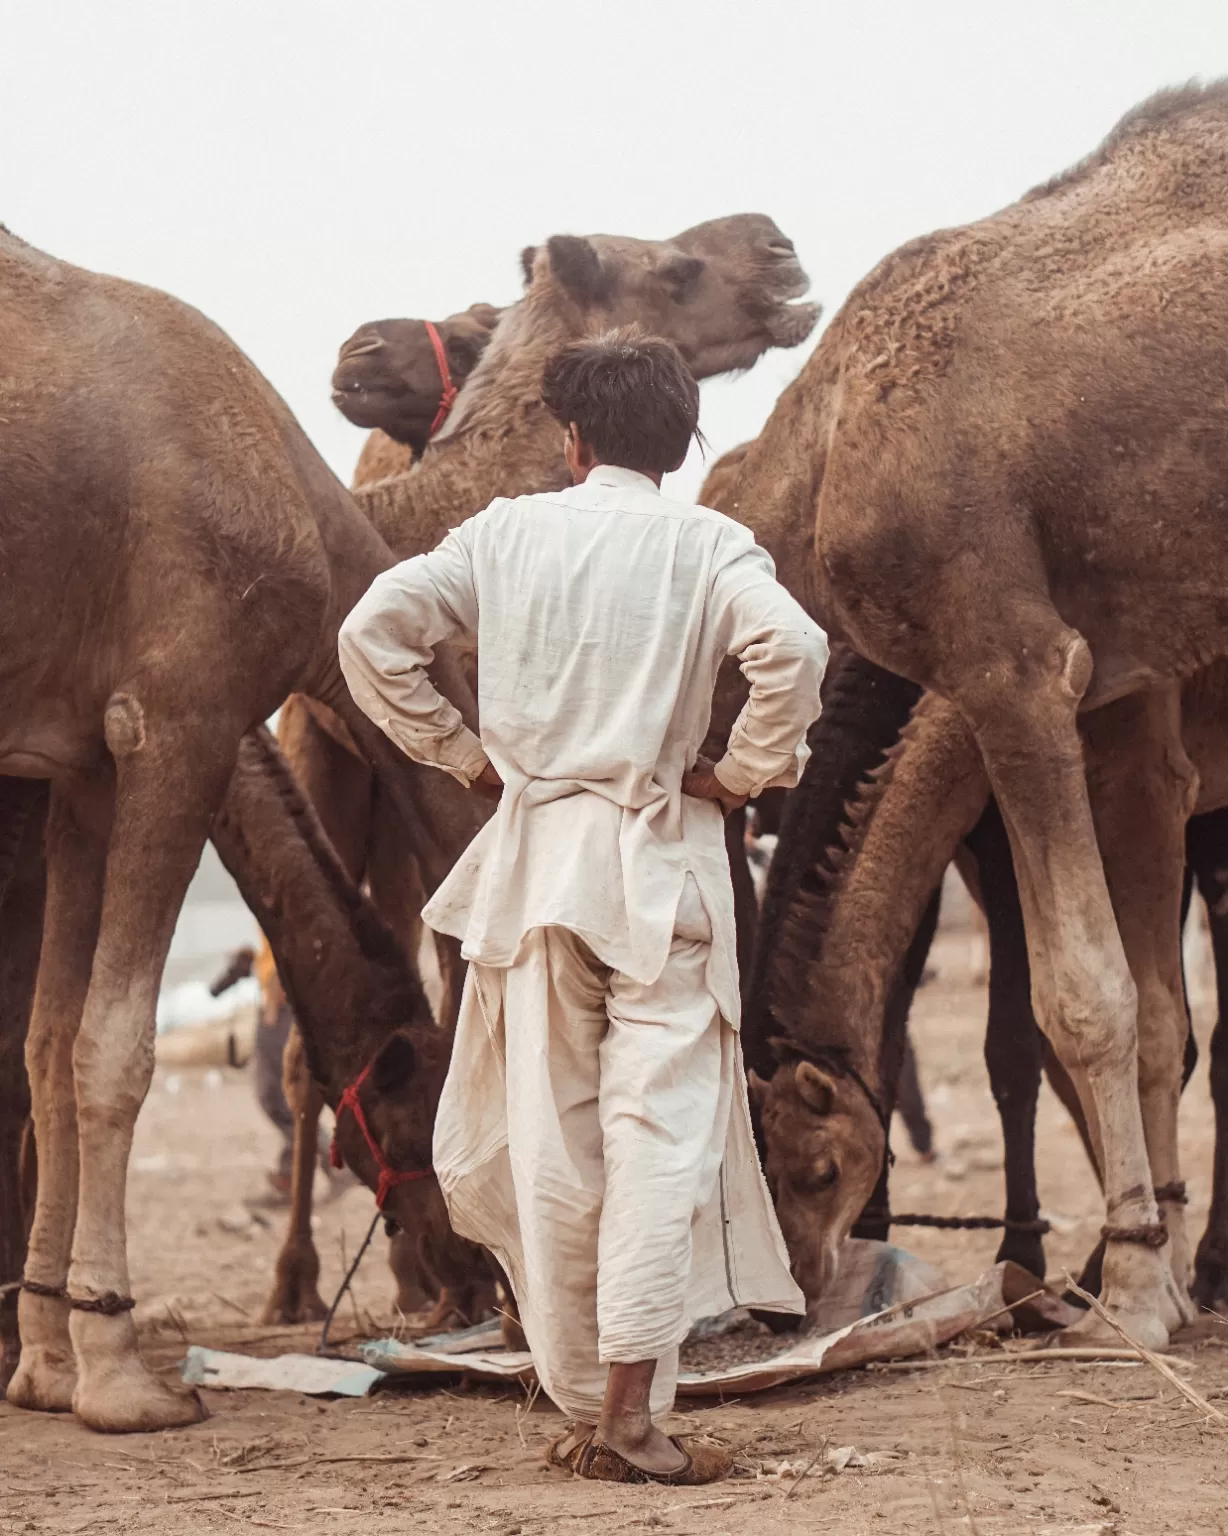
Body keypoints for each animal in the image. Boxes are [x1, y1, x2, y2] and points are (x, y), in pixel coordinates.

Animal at [0, 224, 488, 1425]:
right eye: (416, 1113)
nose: (470, 1280)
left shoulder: (84, 760)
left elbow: (49, 1046)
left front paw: (45, 1366)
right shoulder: (181, 716)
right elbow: (113, 1048)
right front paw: (120, 1377)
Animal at [700, 84, 1228, 1345]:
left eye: (812, 1166)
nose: (790, 1303)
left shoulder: (1008, 665)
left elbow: (1079, 1002)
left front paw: (1127, 1302)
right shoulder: (1119, 703)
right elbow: (1149, 1009)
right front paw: (1146, 1279)